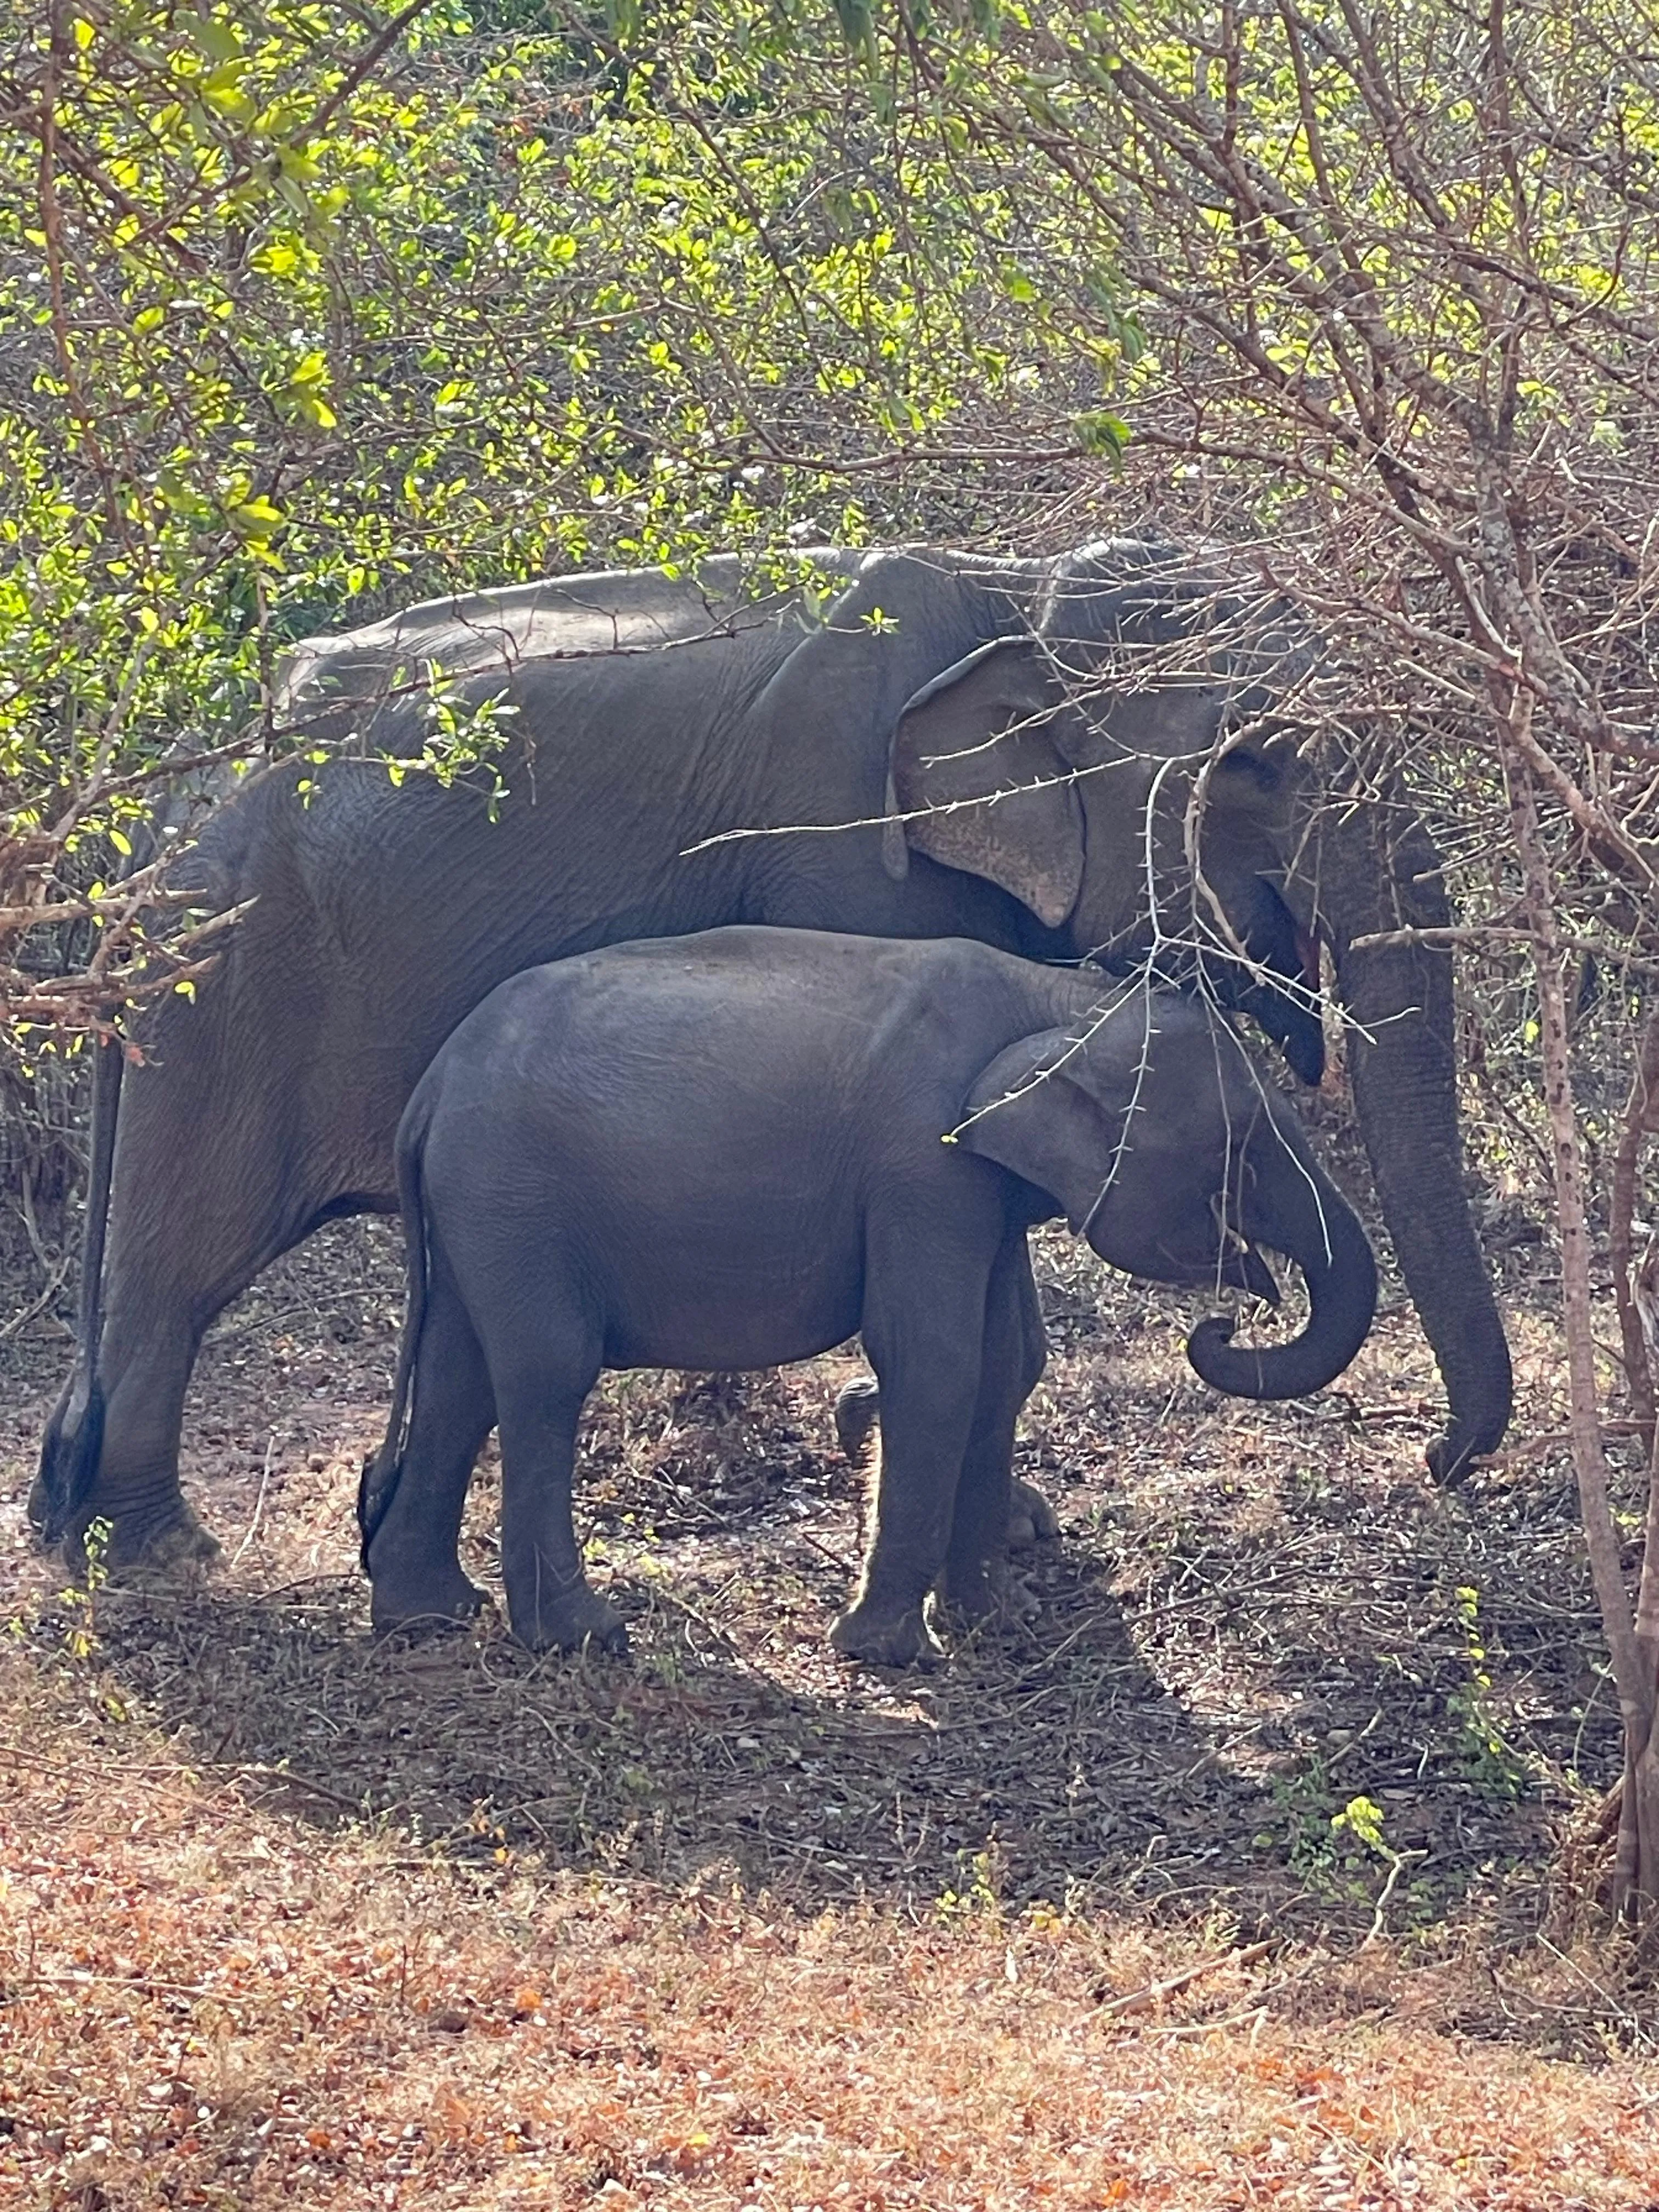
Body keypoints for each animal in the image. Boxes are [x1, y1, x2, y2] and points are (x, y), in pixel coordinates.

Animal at [32, 537, 1509, 1573]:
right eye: (1259, 763)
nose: (1438, 1463)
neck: (1018, 593)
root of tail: (156, 801)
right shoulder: (846, 844)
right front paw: (953, 1491)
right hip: (223, 977)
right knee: (185, 1260)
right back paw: (156, 1550)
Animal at [358, 928, 1378, 1665]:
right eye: (1240, 1150)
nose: (1225, 1320)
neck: (1058, 999)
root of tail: (429, 1092)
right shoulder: (920, 1169)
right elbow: (934, 1359)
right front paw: (890, 1653)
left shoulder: (975, 1189)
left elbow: (1005, 1357)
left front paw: (995, 1615)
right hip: (513, 1195)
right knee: (545, 1373)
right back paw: (585, 1635)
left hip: (481, 1211)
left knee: (458, 1380)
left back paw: (426, 1617)